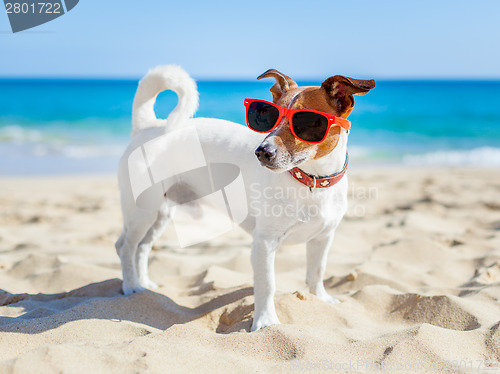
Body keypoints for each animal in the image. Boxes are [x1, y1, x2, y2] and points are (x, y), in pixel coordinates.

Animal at [116, 65, 376, 332]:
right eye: (269, 116)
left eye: (308, 122)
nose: (262, 152)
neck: (310, 182)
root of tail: (149, 126)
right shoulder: (265, 243)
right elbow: (267, 284)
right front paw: (266, 321)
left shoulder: (322, 238)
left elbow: (317, 272)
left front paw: (321, 300)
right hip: (143, 212)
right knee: (126, 247)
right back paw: (131, 286)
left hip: (162, 213)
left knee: (141, 247)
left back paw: (144, 284)